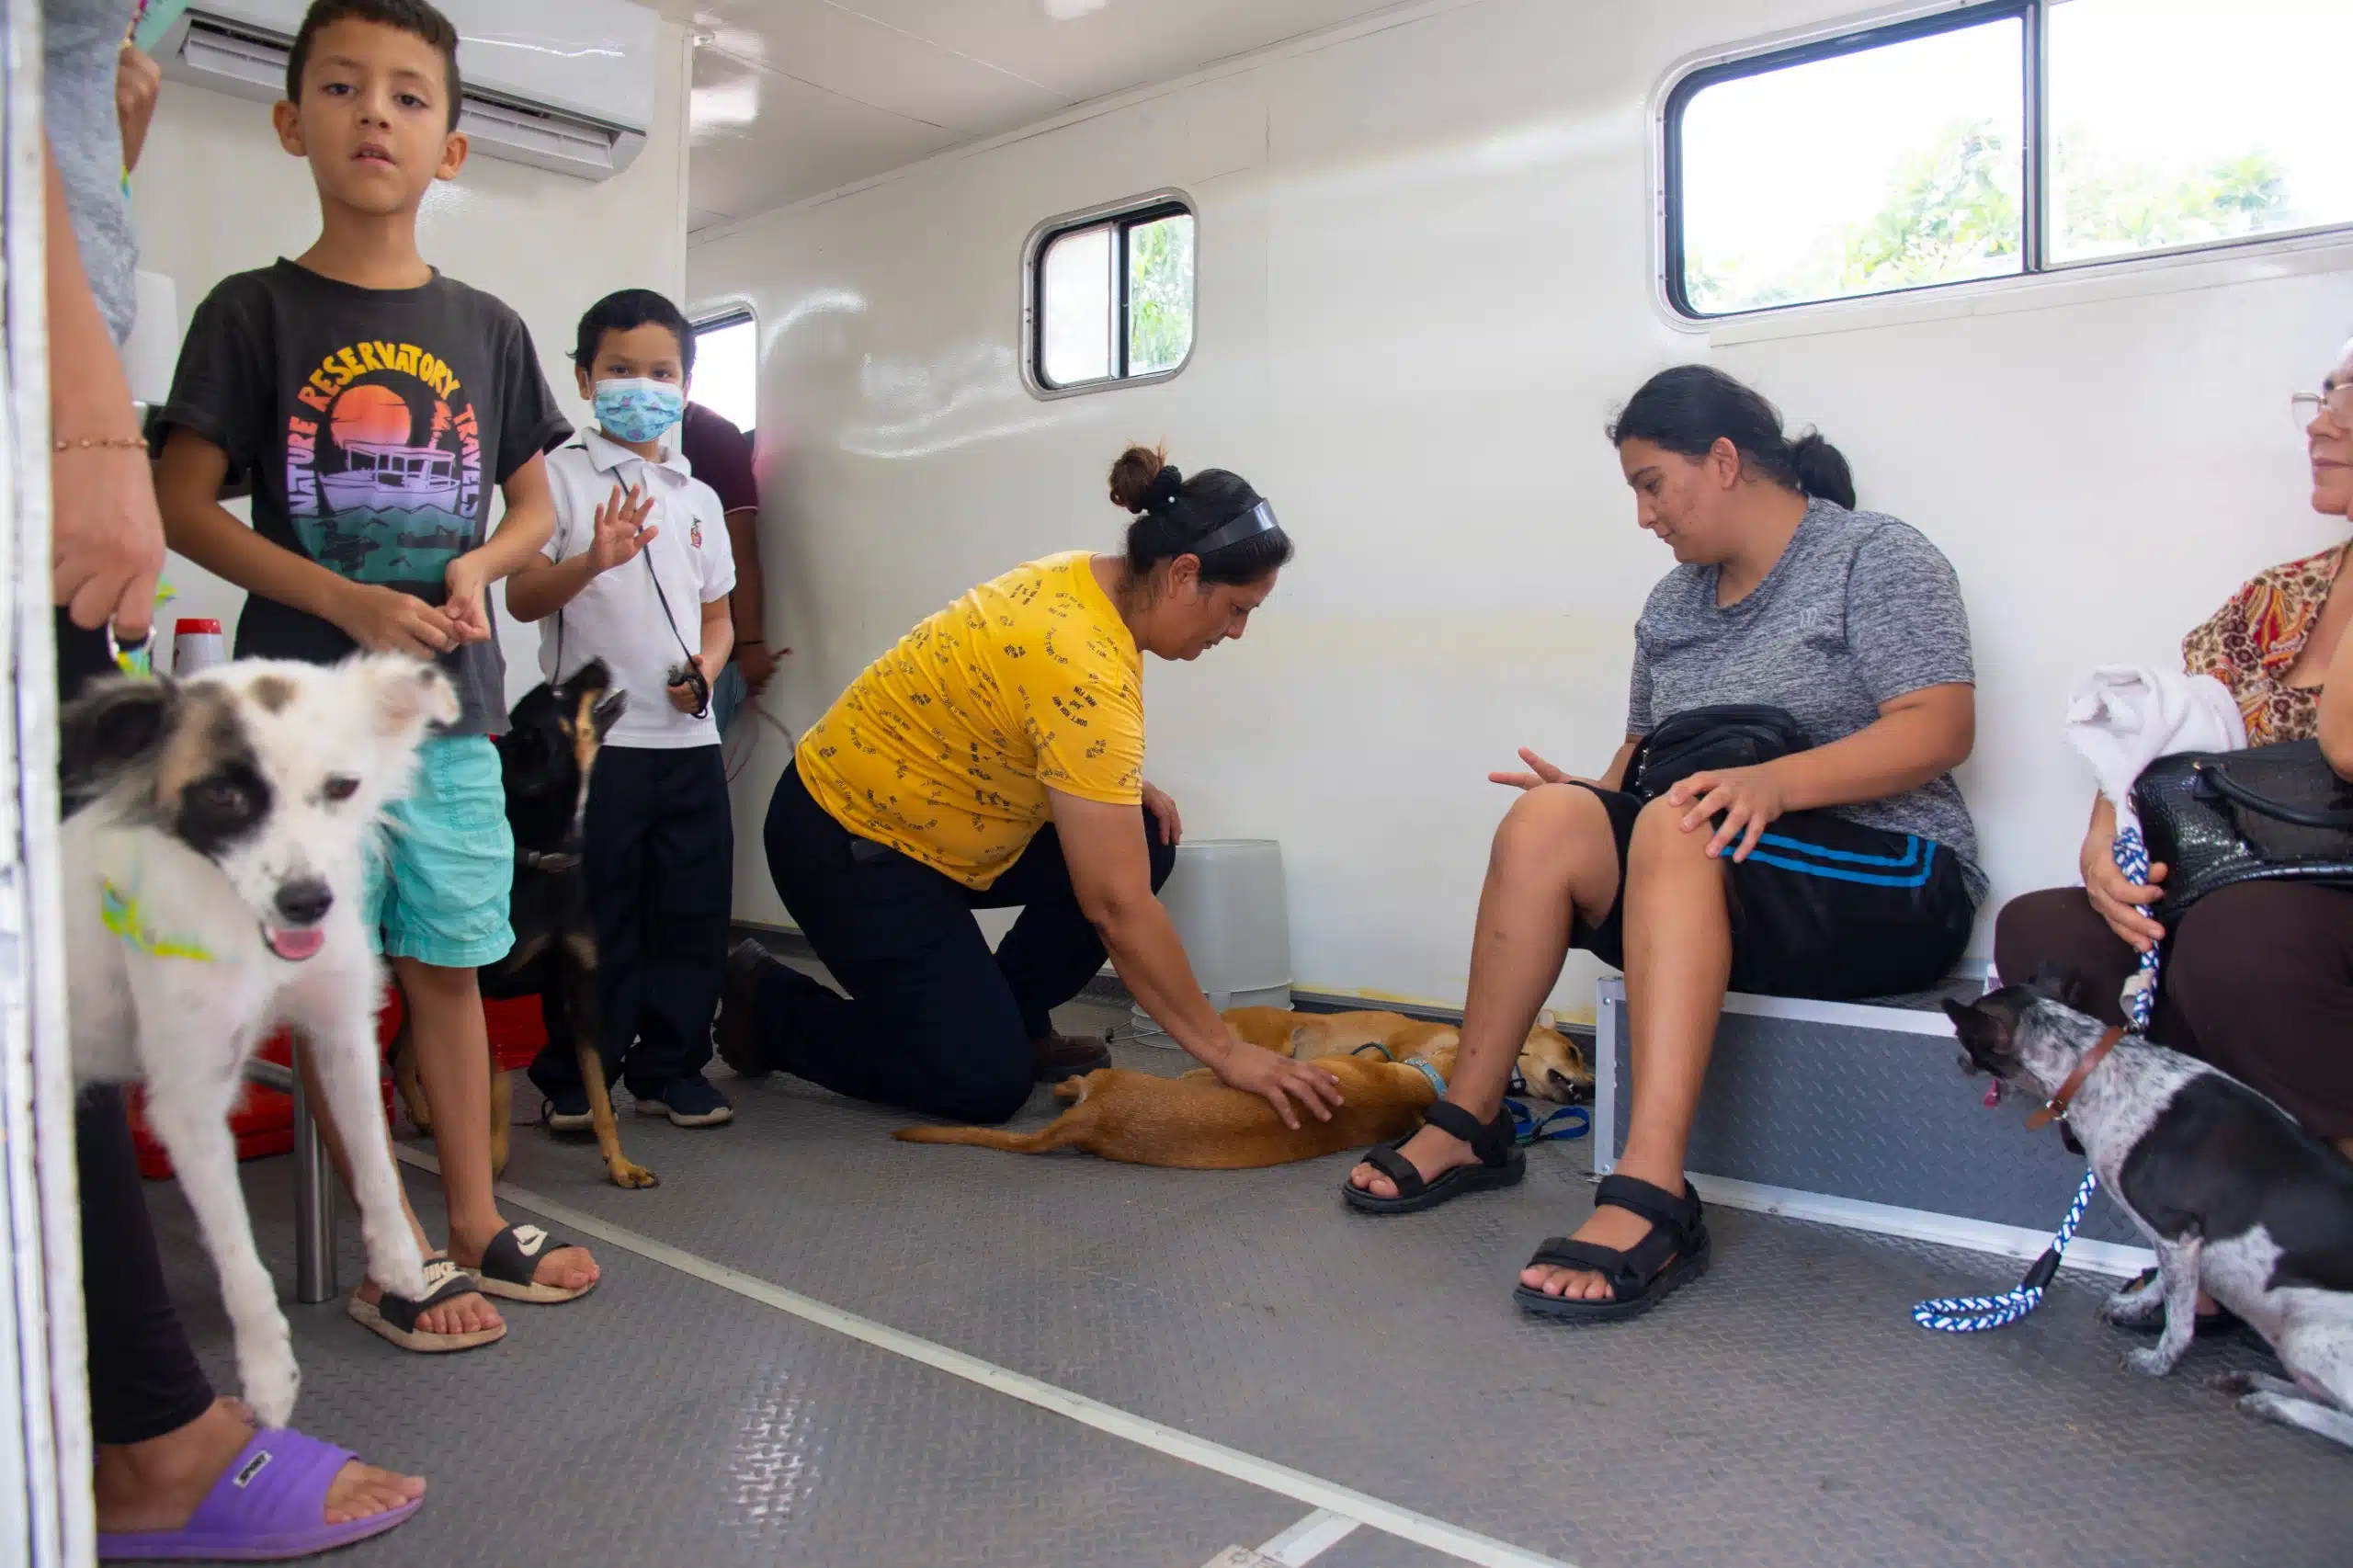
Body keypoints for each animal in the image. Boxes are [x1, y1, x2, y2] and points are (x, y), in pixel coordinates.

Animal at [63, 644, 454, 1412]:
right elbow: (240, 1259)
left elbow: (373, 1155)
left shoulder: (342, 1030)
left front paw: (398, 1257)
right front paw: (269, 1372)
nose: (307, 902)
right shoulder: (189, 1108)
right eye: (223, 796)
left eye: (342, 787)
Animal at [390, 654, 654, 1187]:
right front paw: (491, 1155)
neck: (543, 858)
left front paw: (620, 1166)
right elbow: (495, 1081)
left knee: (400, 1053)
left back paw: (425, 1117)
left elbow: (599, 1093)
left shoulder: (579, 992)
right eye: (558, 695)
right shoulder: (478, 987)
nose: (598, 661)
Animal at [1948, 970, 2353, 1449]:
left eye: (1965, 1039)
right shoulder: (2182, 1245)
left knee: (2345, 1420)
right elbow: (2167, 1286)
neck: (2094, 1067)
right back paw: (2258, 1381)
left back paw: (2274, 1404)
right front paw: (2134, 1307)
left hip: (2307, 1336)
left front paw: (2159, 1361)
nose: (1957, 1061)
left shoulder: (2176, 1232)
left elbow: (2180, 1320)